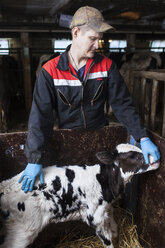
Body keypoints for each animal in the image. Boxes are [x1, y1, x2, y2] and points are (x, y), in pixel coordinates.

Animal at [0, 143, 160, 248]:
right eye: (132, 156)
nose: (157, 158)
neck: (105, 180)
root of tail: (6, 185)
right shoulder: (95, 217)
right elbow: (108, 241)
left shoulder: (107, 209)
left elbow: (114, 230)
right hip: (24, 229)